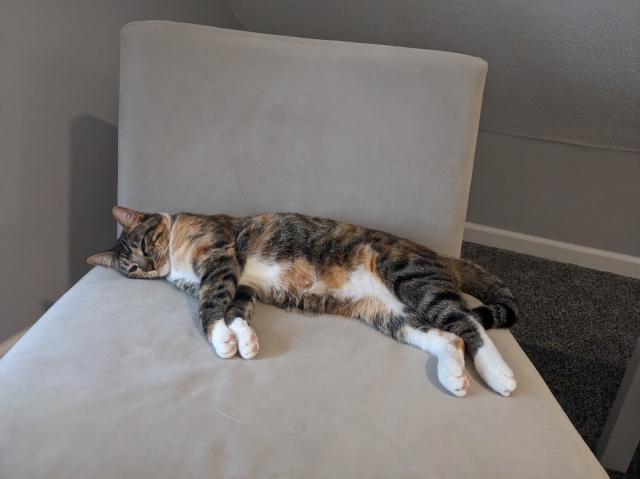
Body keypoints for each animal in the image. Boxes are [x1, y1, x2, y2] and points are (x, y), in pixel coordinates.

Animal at [89, 206, 520, 398]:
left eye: (146, 243)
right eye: (131, 267)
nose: (149, 265)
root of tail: (440, 255)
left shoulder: (219, 257)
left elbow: (211, 307)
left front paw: (221, 338)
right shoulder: (241, 286)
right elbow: (238, 311)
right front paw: (244, 340)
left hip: (409, 277)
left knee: (468, 321)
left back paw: (499, 374)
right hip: (389, 314)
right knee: (449, 337)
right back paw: (454, 377)